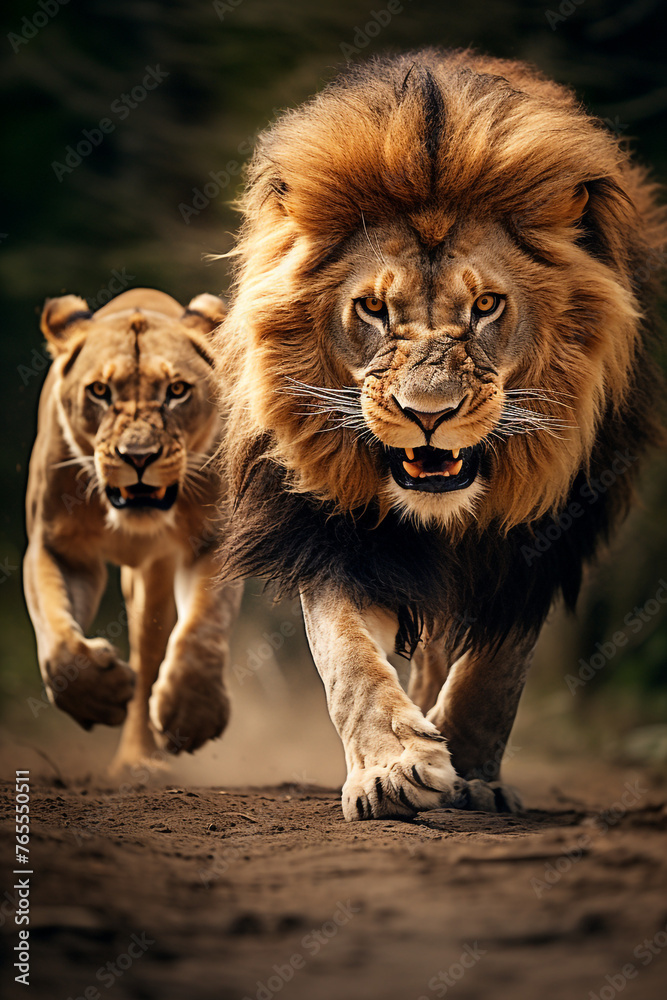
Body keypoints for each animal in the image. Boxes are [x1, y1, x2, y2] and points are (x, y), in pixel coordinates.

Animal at [24, 287, 242, 775]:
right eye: (100, 391)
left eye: (176, 391)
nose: (138, 456)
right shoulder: (56, 548)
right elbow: (58, 642)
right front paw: (98, 696)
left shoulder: (213, 542)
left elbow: (201, 629)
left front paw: (192, 715)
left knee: (151, 653)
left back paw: (140, 761)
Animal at [215, 48, 666, 821]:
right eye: (372, 308)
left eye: (485, 305)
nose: (428, 412)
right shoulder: (329, 526)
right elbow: (347, 657)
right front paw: (394, 766)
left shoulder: (538, 539)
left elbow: (495, 670)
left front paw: (471, 775)